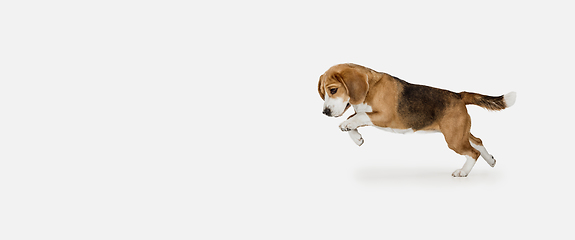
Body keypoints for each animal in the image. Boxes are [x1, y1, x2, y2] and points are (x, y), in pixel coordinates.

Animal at [320, 62, 516, 177]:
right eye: (323, 93)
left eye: (333, 90)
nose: (325, 112)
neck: (371, 85)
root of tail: (459, 95)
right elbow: (354, 116)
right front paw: (356, 137)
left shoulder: (384, 116)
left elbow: (357, 116)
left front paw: (346, 125)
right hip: (459, 133)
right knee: (478, 141)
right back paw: (490, 160)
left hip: (454, 139)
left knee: (473, 152)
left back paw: (463, 172)